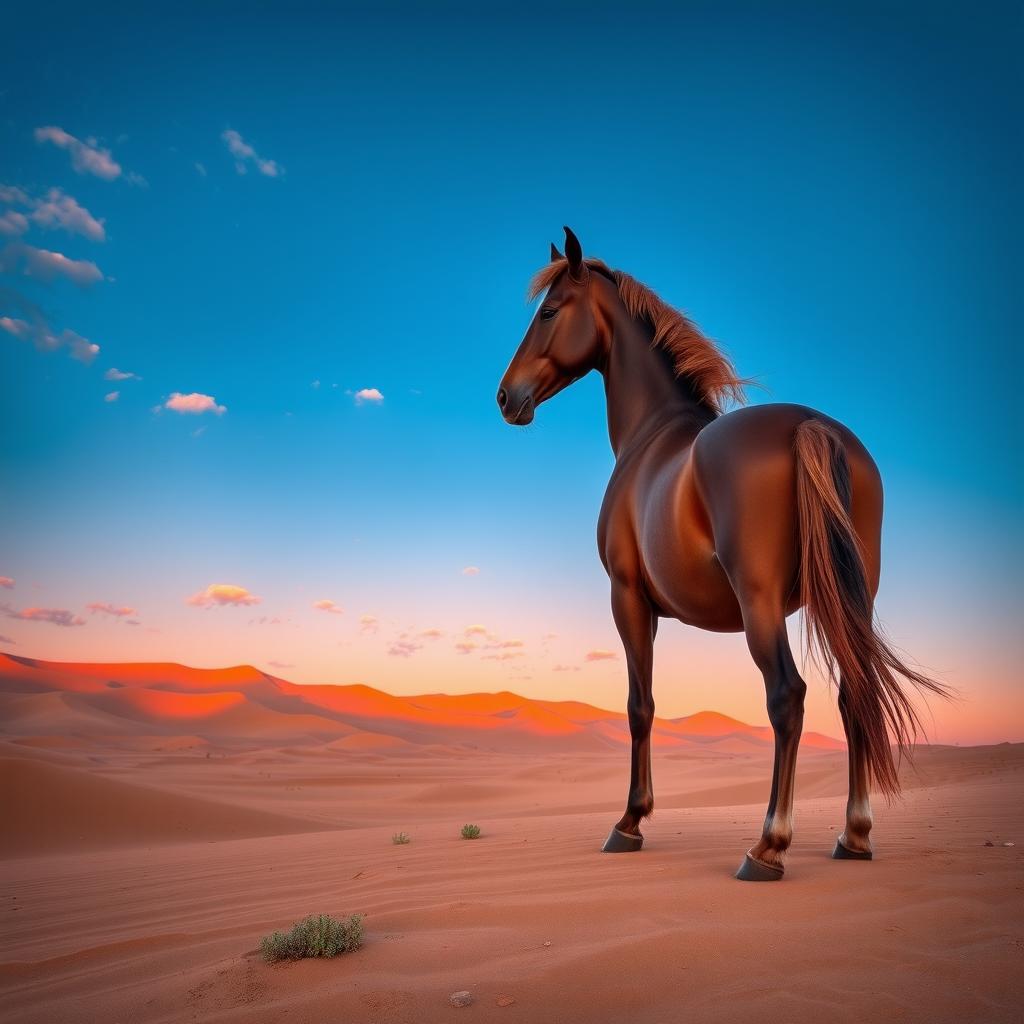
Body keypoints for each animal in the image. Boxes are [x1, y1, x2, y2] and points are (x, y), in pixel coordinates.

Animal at [495, 226, 942, 880]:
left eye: (549, 311)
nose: (507, 397)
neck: (653, 434)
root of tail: (811, 427)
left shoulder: (628, 598)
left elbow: (640, 705)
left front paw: (629, 822)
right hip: (846, 600)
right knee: (852, 693)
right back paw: (854, 836)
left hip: (760, 604)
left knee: (787, 697)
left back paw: (768, 846)